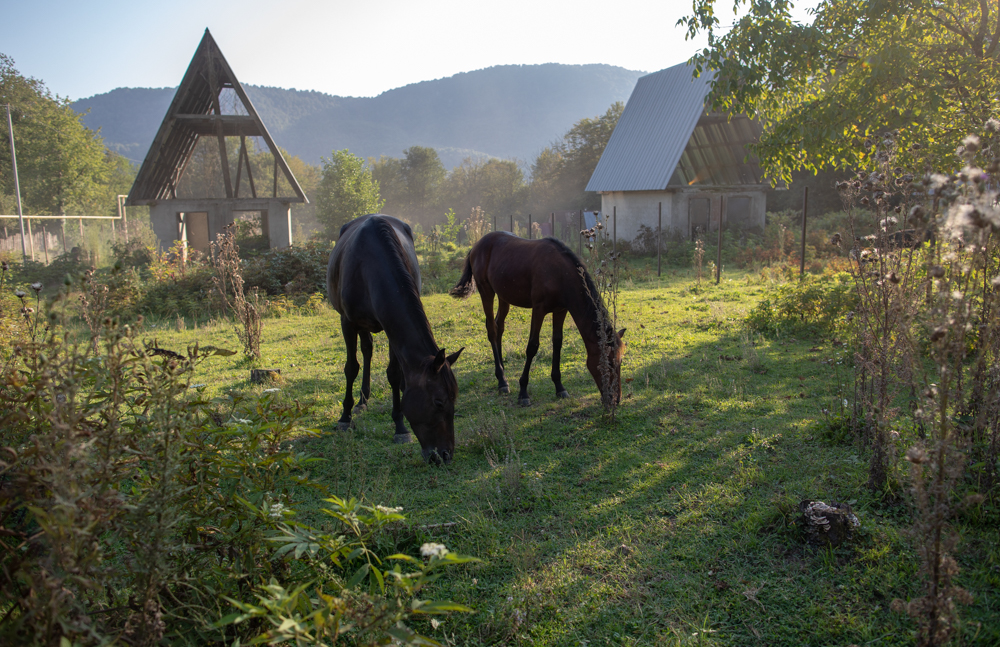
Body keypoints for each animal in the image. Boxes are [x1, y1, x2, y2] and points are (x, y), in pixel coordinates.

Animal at [332, 215, 464, 464]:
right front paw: (345, 417)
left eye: (454, 400)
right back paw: (361, 401)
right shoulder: (348, 322)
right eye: (439, 402)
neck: (370, 264)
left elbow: (394, 373)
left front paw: (400, 427)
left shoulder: (390, 327)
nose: (445, 455)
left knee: (373, 352)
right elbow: (351, 368)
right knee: (365, 351)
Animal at [452, 232, 624, 404]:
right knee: (492, 330)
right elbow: (532, 346)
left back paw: (502, 373)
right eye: (608, 363)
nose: (616, 399)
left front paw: (559, 387)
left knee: (499, 326)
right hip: (486, 291)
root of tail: (477, 245)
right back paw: (501, 380)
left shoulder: (561, 310)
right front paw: (523, 392)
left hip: (503, 296)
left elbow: (557, 343)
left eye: (620, 361)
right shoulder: (539, 310)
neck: (559, 273)